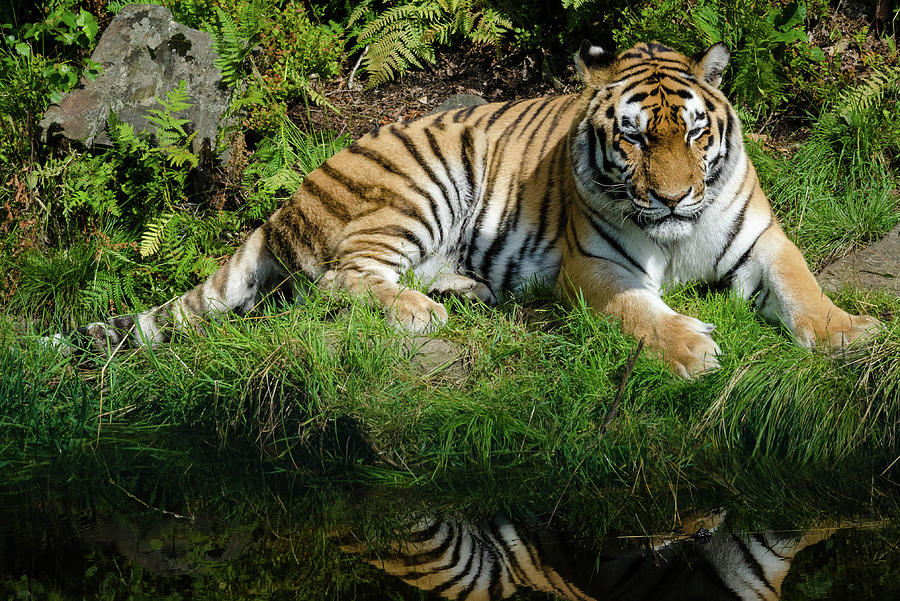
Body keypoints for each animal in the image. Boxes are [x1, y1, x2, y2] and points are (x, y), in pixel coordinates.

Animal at [54, 39, 880, 376]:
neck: (676, 233)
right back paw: (422, 311)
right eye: (636, 138)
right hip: (419, 186)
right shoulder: (595, 266)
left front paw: (849, 333)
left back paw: (464, 288)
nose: (675, 195)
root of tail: (283, 202)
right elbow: (640, 312)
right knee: (339, 279)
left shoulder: (763, 240)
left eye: (696, 132)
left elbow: (803, 286)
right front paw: (690, 349)